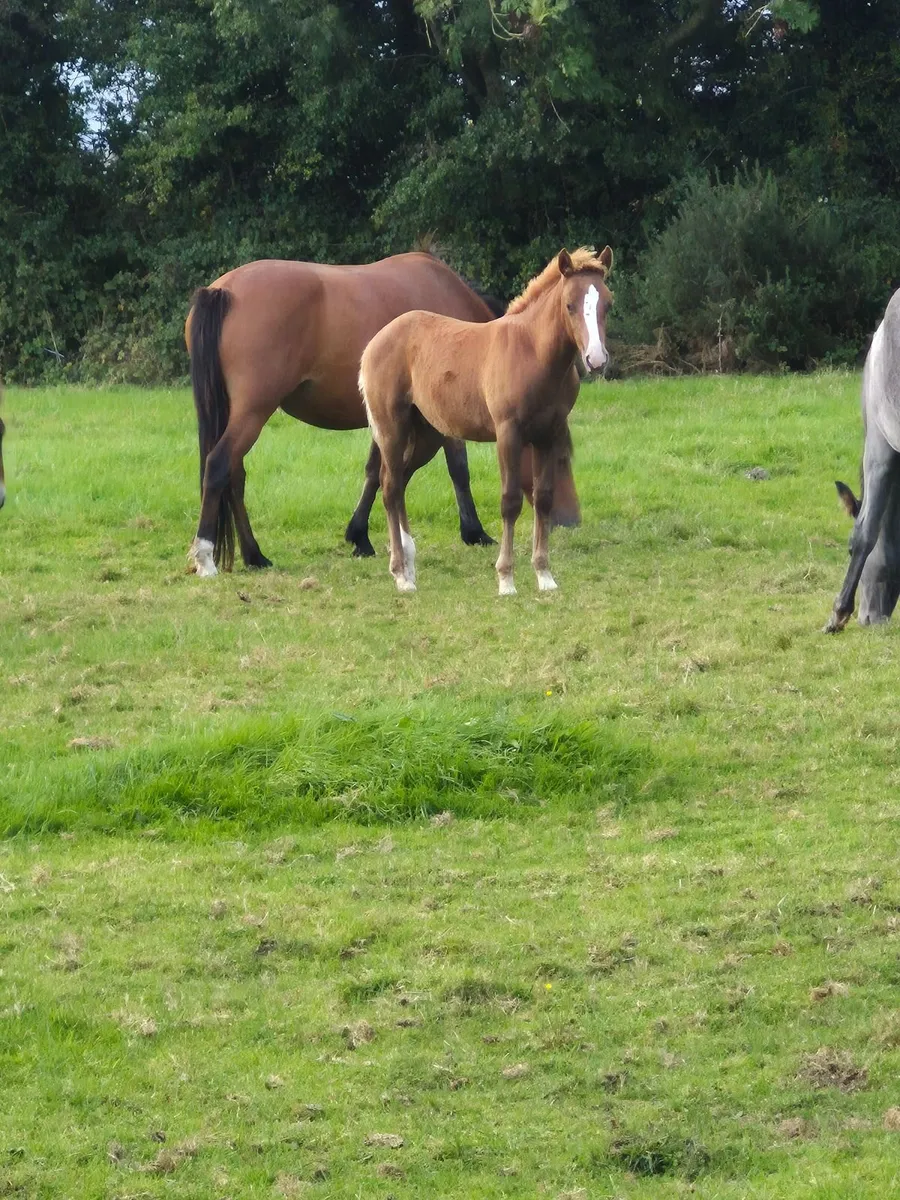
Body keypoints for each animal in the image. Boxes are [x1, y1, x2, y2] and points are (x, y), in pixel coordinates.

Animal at [184, 253, 581, 576]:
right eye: (561, 459)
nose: (571, 520)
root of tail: (221, 291)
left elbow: (378, 472)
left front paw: (360, 536)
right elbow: (456, 469)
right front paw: (474, 531)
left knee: (234, 476)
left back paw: (253, 555)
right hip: (253, 412)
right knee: (219, 466)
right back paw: (207, 555)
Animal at [360, 246, 613, 596]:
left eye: (608, 304)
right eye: (569, 305)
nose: (596, 359)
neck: (532, 353)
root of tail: (375, 342)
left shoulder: (548, 434)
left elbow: (543, 499)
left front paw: (544, 576)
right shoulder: (508, 433)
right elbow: (510, 501)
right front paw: (506, 579)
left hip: (425, 434)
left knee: (398, 483)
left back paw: (409, 566)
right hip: (391, 428)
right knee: (390, 486)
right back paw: (401, 575)